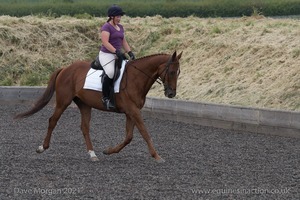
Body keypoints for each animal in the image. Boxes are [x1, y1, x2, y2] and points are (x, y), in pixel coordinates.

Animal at [14, 51, 183, 162]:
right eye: (172, 72)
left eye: (178, 72)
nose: (171, 94)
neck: (137, 78)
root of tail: (65, 68)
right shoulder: (133, 111)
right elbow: (145, 132)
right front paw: (157, 156)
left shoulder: (131, 112)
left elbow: (129, 137)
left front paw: (109, 151)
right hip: (63, 102)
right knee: (53, 121)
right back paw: (42, 147)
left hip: (84, 105)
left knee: (84, 127)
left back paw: (92, 154)